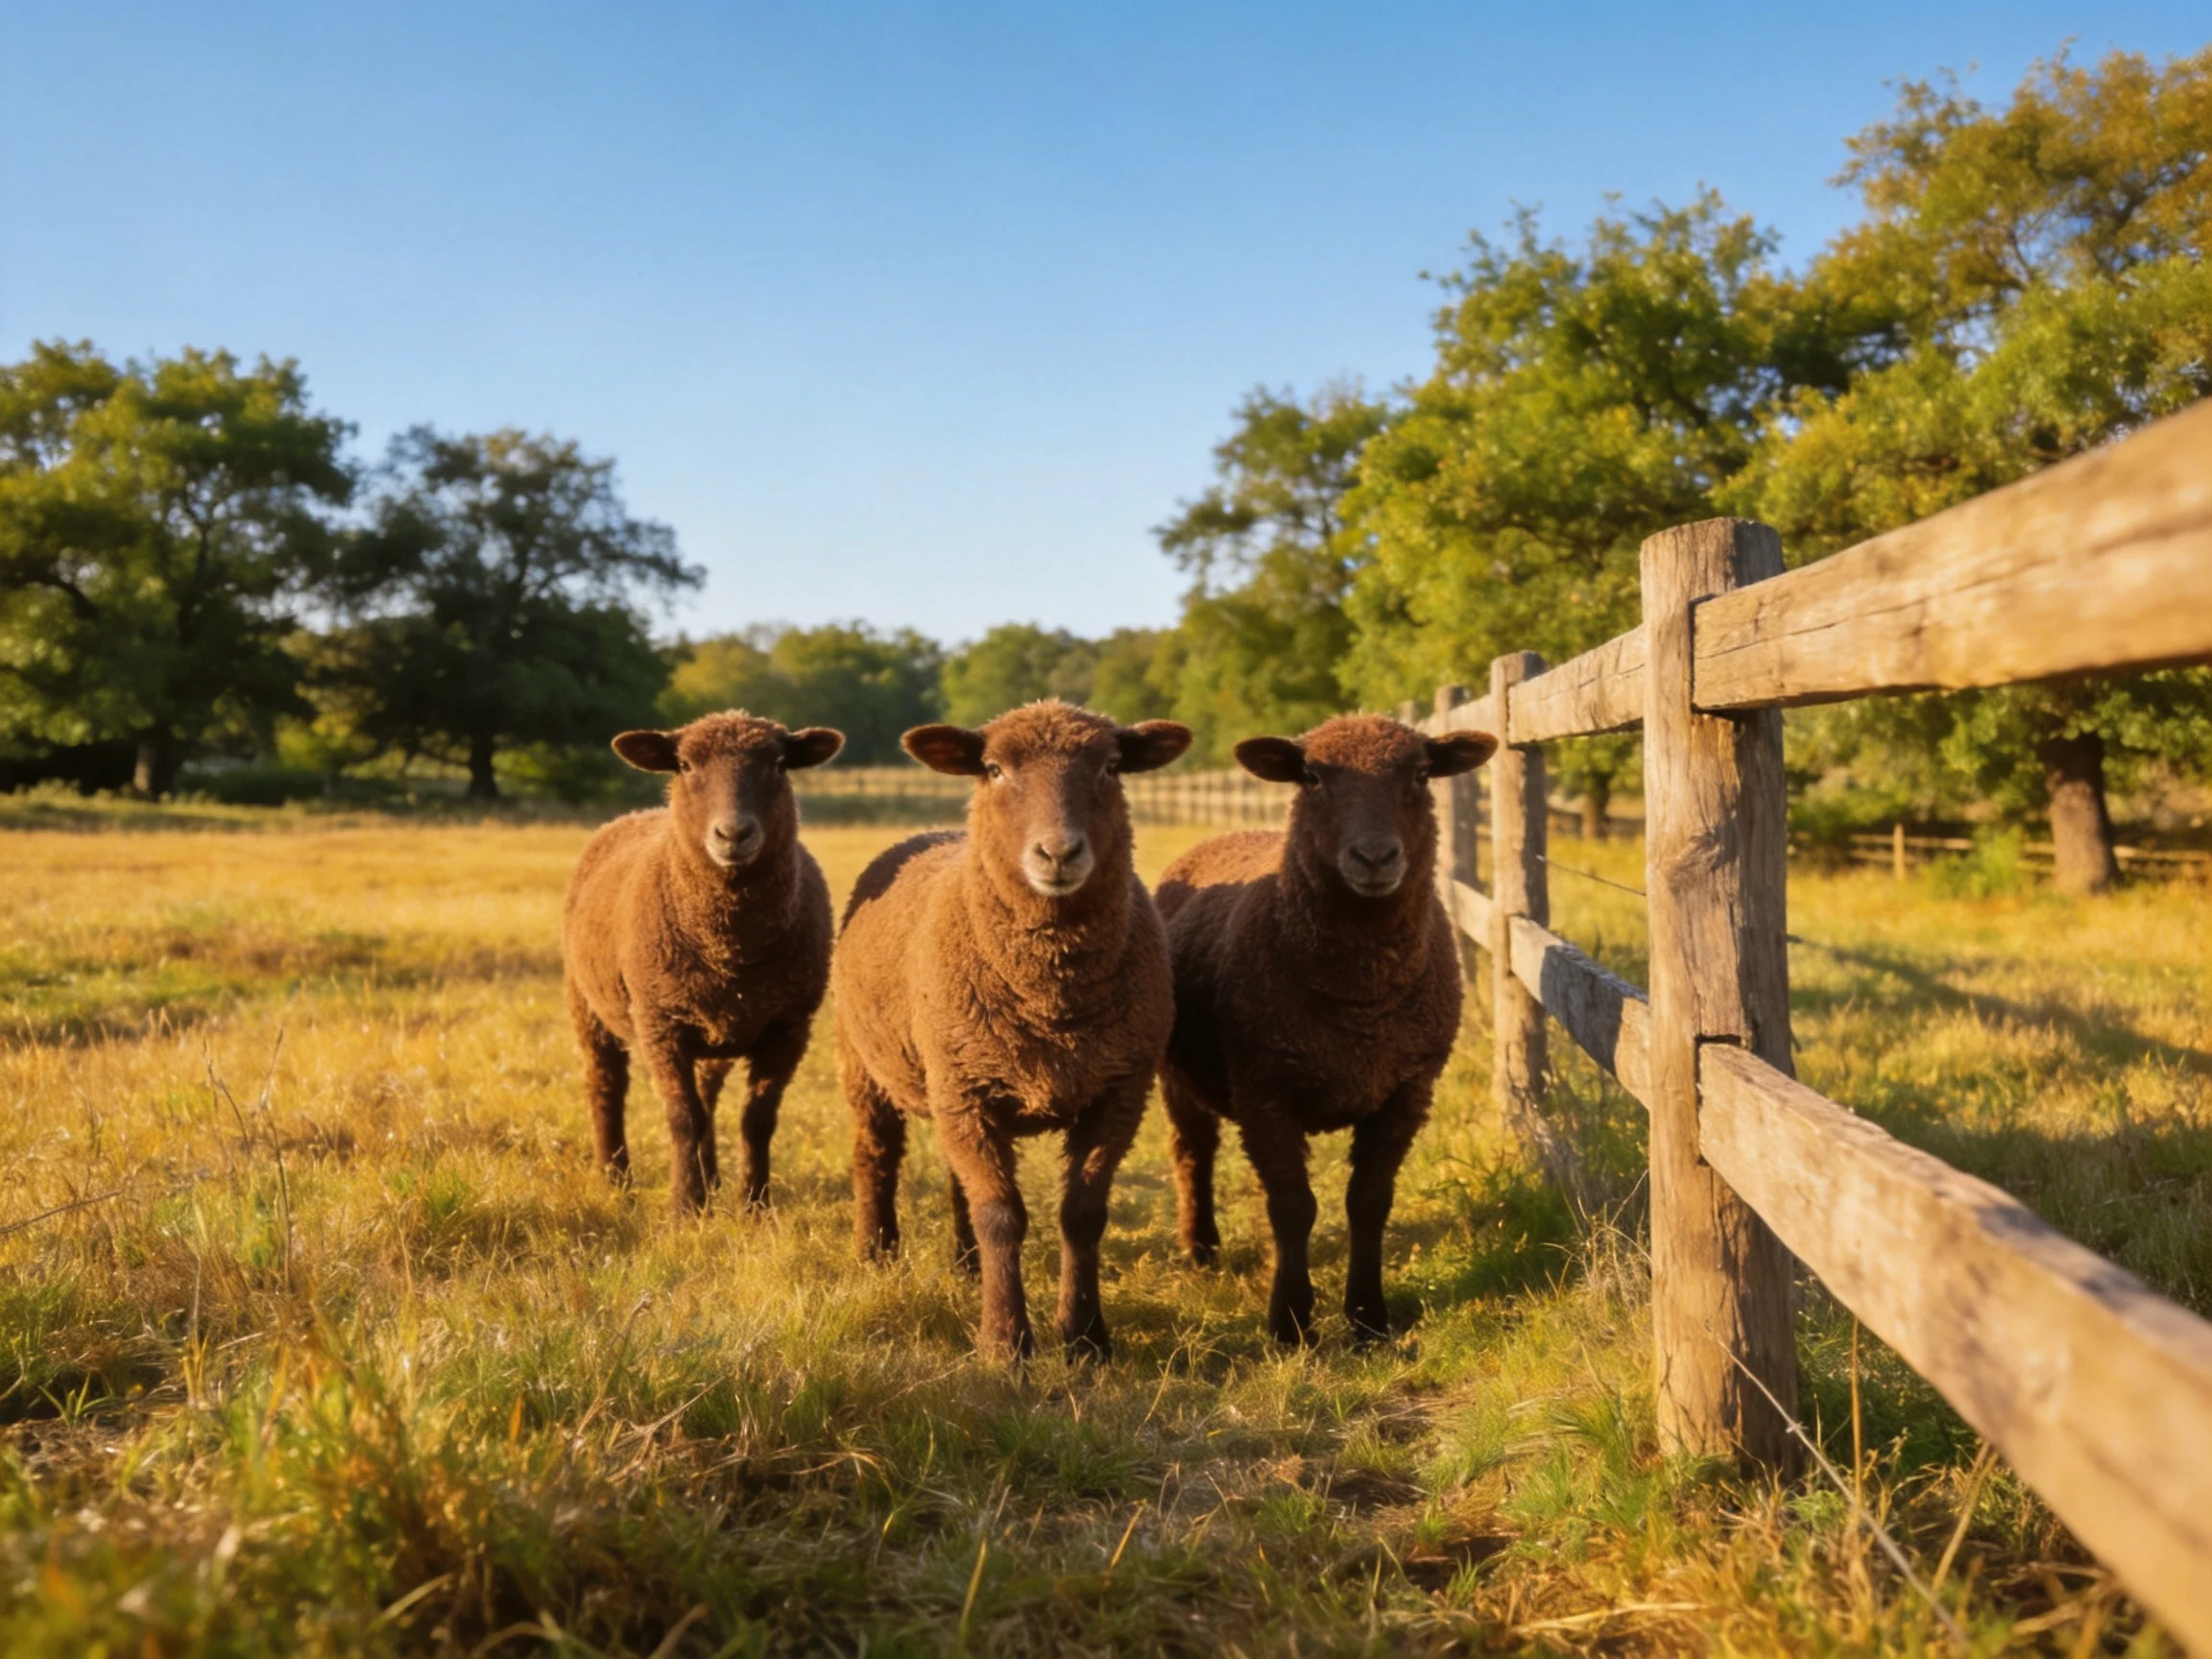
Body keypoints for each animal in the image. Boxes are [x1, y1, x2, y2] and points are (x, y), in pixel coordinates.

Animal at [562, 711, 845, 1213]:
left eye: (778, 764)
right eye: (686, 765)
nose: (733, 835)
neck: (729, 946)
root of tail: (634, 816)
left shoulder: (789, 1025)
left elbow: (757, 1119)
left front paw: (755, 1207)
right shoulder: (660, 1021)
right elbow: (681, 1117)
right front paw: (685, 1207)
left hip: (718, 1029)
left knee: (708, 1095)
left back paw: (710, 1177)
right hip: (587, 1004)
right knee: (605, 1086)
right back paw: (615, 1178)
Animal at [833, 700, 1192, 1361]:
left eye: (1110, 766)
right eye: (995, 769)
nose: (1058, 854)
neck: (1052, 1000)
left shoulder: (1119, 1090)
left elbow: (1081, 1214)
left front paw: (1084, 1339)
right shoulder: (968, 1090)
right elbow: (1002, 1214)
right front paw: (1004, 1344)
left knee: (959, 1180)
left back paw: (967, 1264)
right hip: (868, 1062)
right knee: (876, 1155)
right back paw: (875, 1253)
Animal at [1155, 713, 1496, 1344]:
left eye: (1420, 774)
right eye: (1312, 777)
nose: (1375, 857)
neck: (1360, 1004)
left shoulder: (1408, 1089)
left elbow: (1369, 1202)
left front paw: (1368, 1320)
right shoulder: (1265, 1089)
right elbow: (1293, 1206)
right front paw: (1289, 1323)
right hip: (1177, 1072)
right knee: (1193, 1151)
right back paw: (1200, 1249)